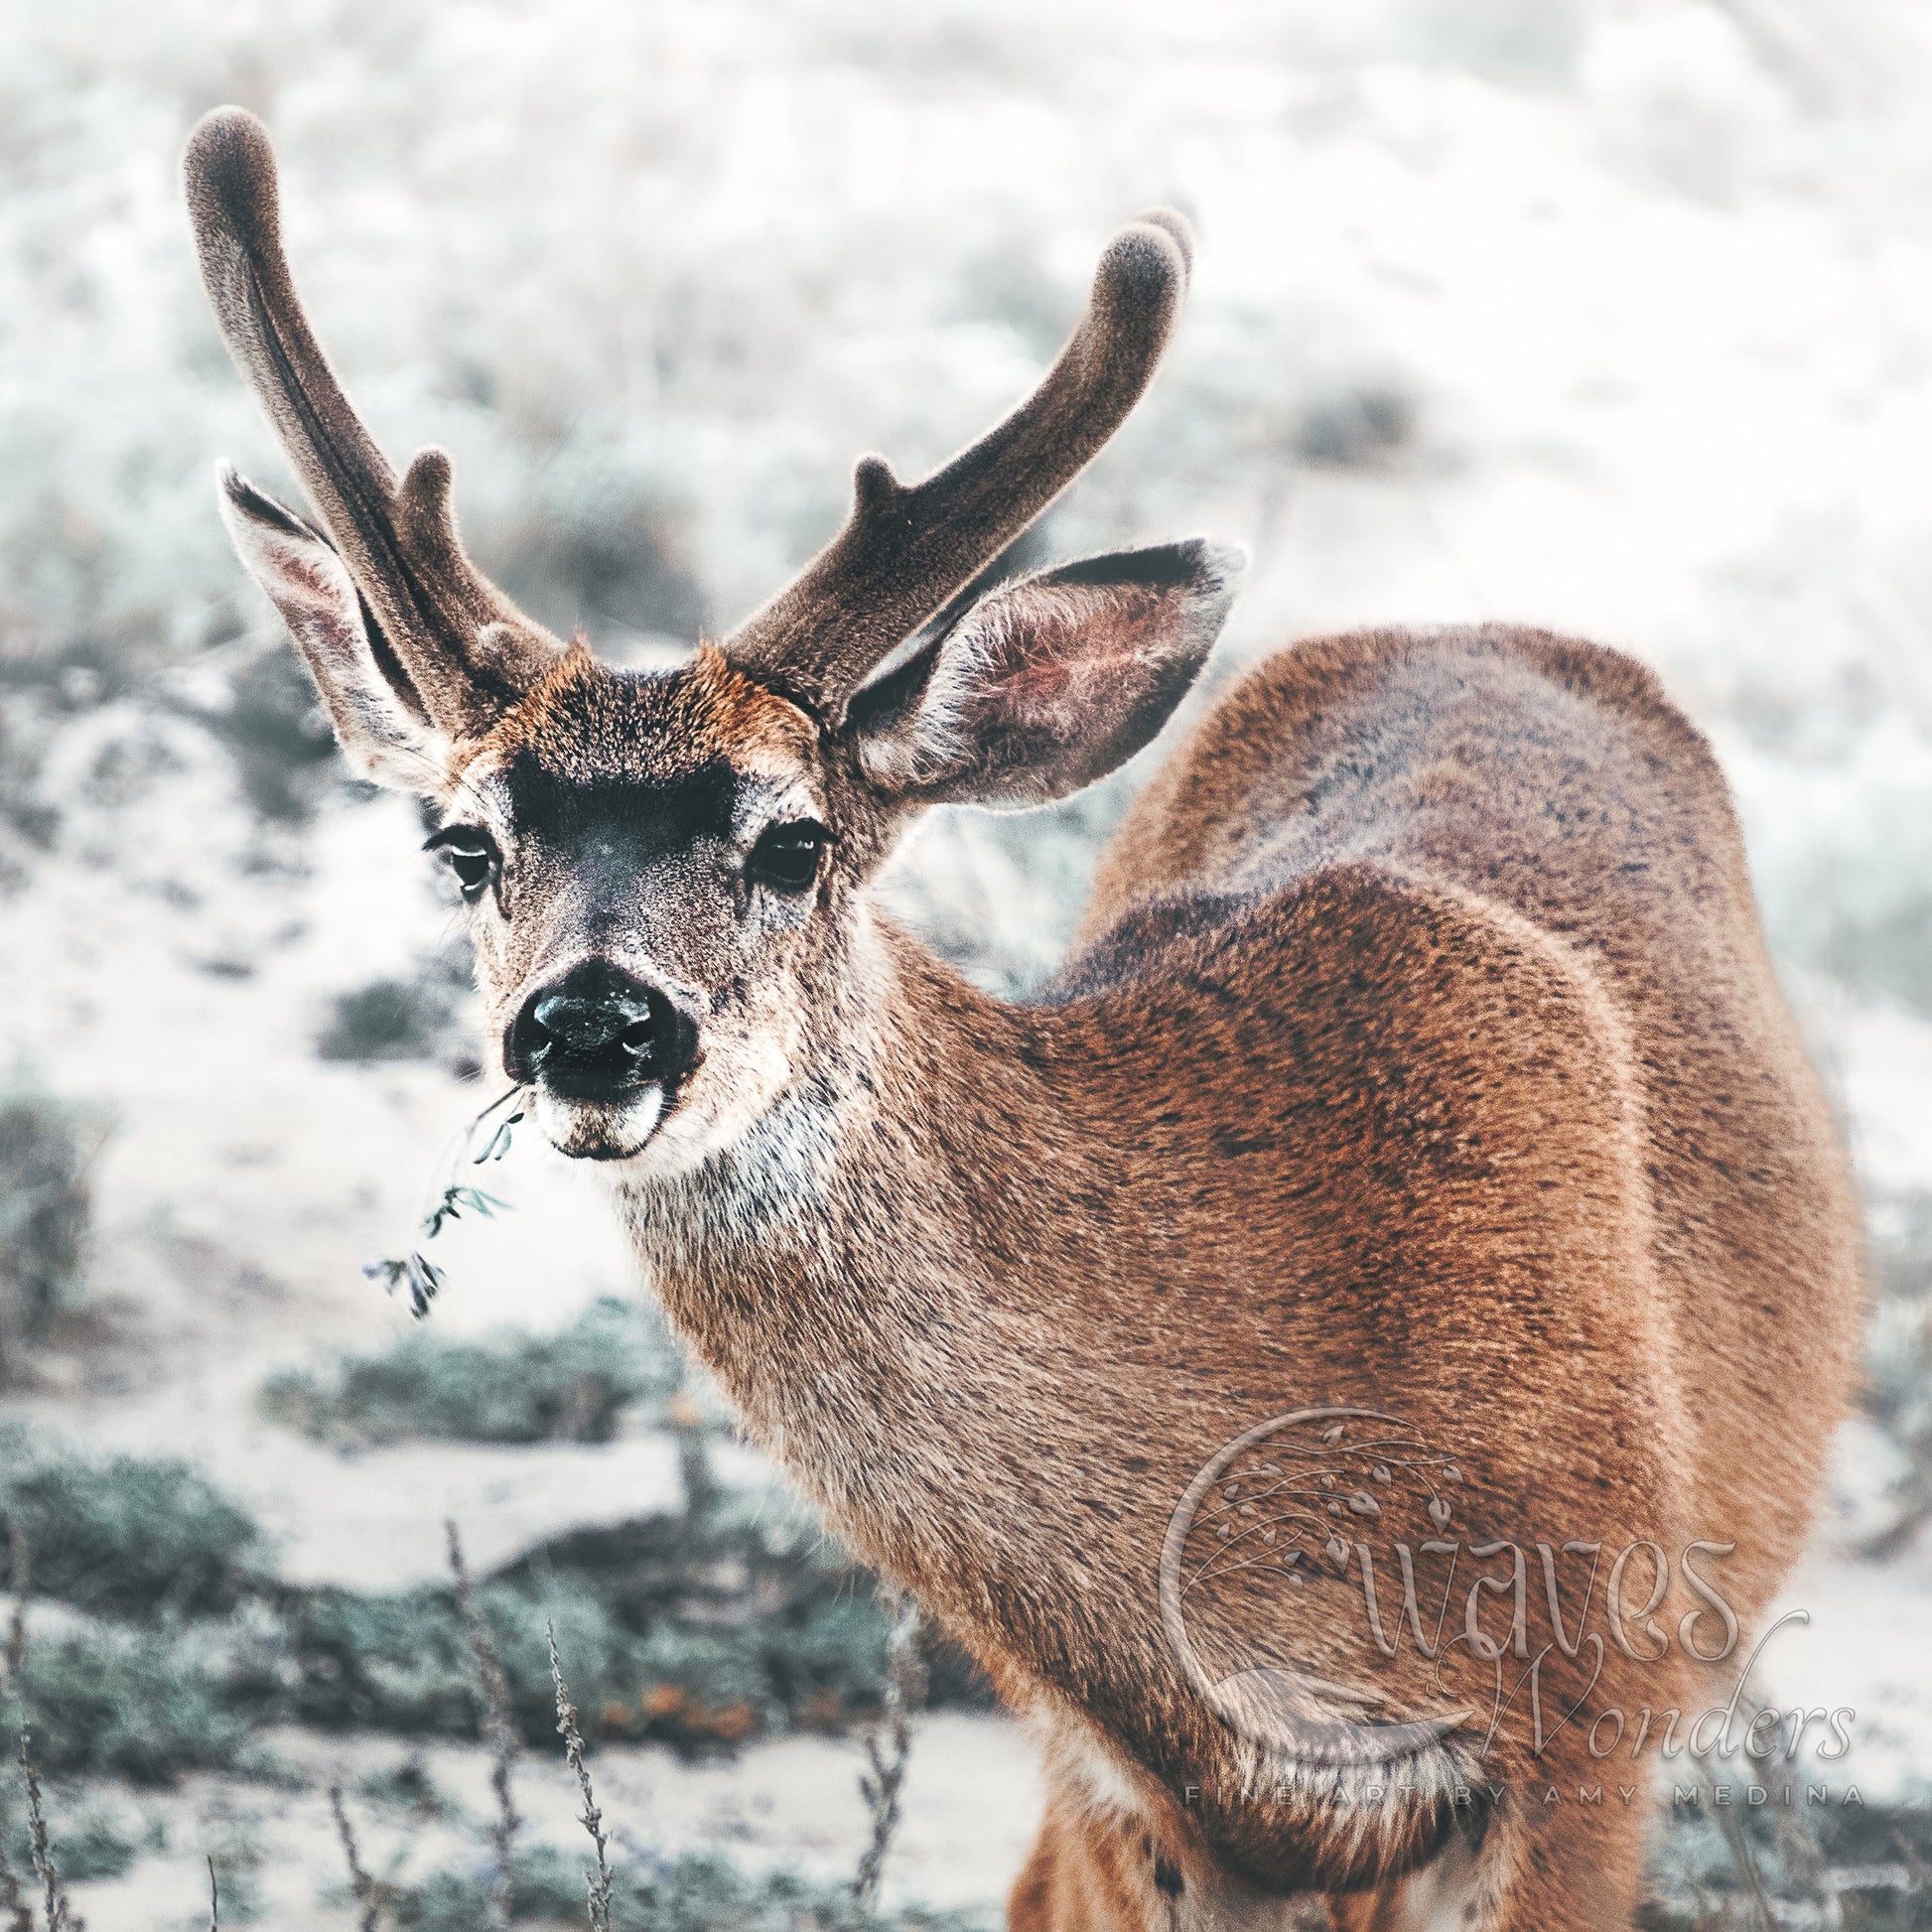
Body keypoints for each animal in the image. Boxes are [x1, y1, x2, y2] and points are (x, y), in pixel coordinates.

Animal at [188, 109, 1862, 1932]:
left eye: (793, 841)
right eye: (463, 844)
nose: (593, 1025)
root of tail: (1466, 626)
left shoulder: (1586, 1717)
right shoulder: (1111, 1782)